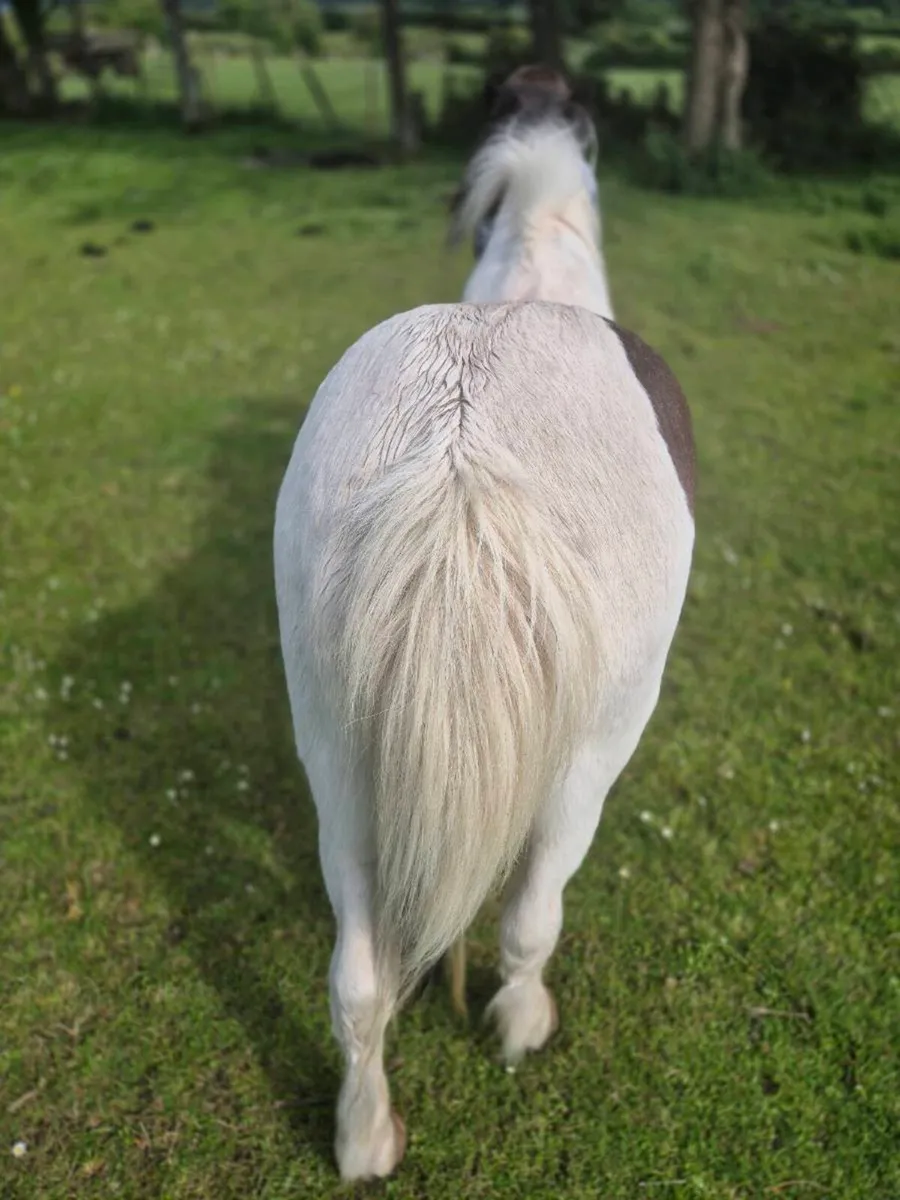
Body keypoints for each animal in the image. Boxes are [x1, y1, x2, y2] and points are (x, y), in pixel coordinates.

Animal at [273, 64, 695, 1182]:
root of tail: (460, 443)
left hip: (335, 752)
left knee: (357, 978)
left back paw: (364, 1136)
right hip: (592, 750)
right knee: (532, 914)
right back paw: (518, 1027)